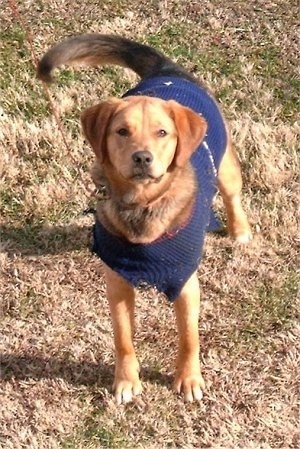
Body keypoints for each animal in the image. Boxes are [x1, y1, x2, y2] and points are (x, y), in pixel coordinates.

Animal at [38, 35, 253, 404]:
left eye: (162, 133)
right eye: (122, 132)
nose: (142, 158)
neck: (142, 205)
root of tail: (166, 68)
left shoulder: (186, 283)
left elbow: (189, 337)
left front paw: (189, 380)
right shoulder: (117, 283)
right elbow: (123, 339)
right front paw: (126, 382)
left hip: (225, 165)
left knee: (232, 194)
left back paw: (240, 230)